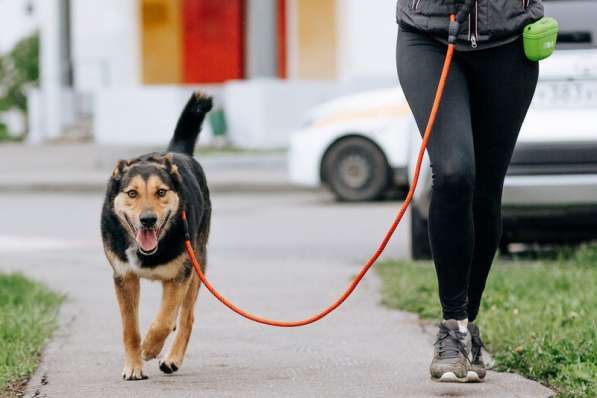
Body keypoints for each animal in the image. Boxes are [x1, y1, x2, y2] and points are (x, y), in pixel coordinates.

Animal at [102, 92, 212, 380]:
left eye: (161, 192)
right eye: (132, 193)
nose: (148, 220)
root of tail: (177, 152)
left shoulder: (180, 275)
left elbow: (163, 320)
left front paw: (150, 347)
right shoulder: (124, 277)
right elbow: (130, 328)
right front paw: (134, 366)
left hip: (197, 264)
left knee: (186, 317)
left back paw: (171, 358)